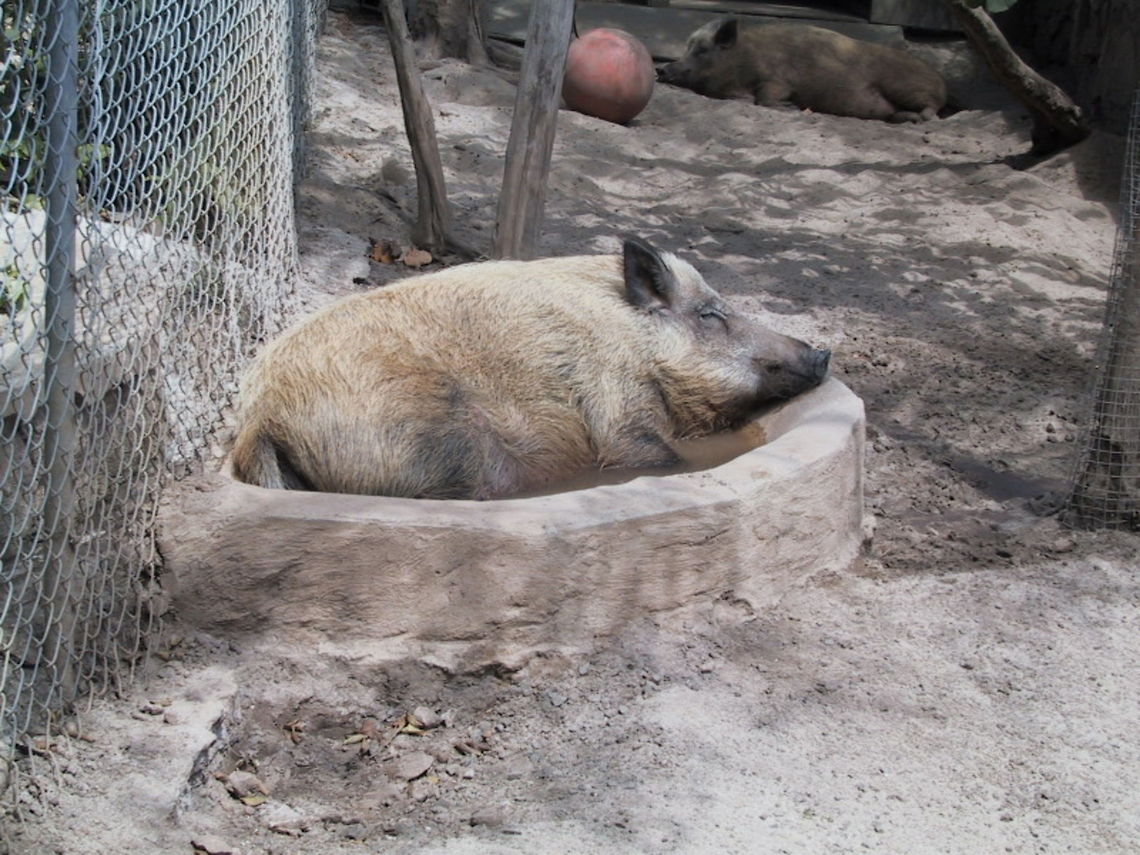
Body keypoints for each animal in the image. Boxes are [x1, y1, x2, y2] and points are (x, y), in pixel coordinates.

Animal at [230, 237, 830, 499]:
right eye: (710, 314)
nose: (822, 353)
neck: (636, 344)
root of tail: (263, 418)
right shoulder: (622, 413)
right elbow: (657, 458)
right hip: (438, 443)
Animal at [658, 18, 947, 123]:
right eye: (687, 46)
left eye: (702, 50)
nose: (662, 70)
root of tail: (942, 81)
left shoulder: (778, 80)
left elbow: (765, 97)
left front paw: (791, 108)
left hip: (905, 87)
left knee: (933, 110)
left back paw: (922, 118)